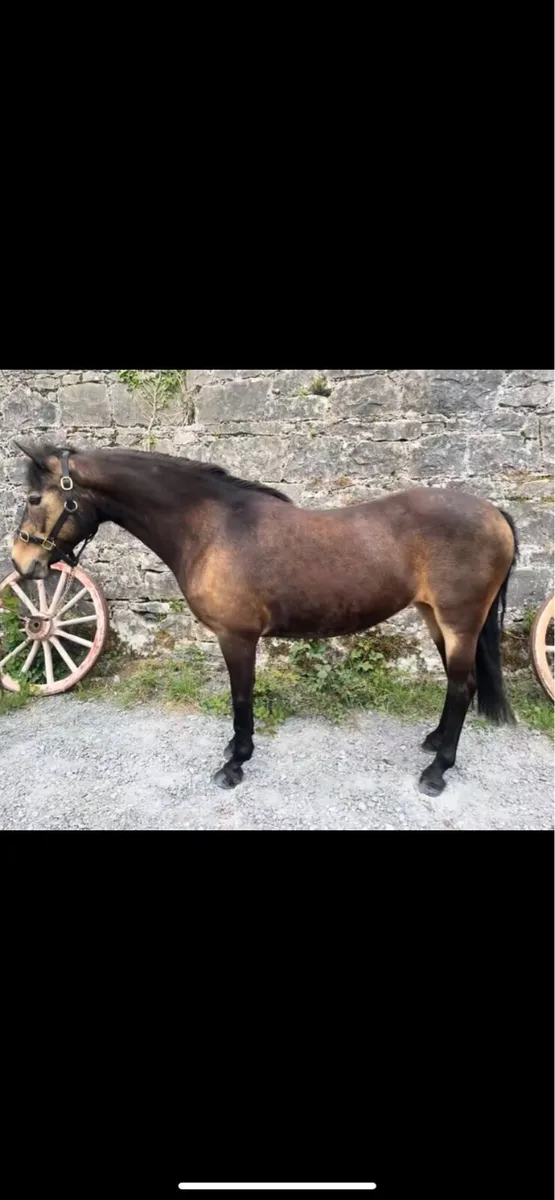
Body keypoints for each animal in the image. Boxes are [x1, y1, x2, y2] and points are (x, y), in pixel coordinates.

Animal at [10, 441, 518, 797]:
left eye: (34, 498)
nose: (20, 563)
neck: (211, 528)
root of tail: (493, 512)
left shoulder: (236, 637)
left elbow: (241, 698)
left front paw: (234, 763)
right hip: (435, 618)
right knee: (460, 685)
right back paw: (433, 743)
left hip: (459, 622)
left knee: (462, 688)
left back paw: (436, 772)